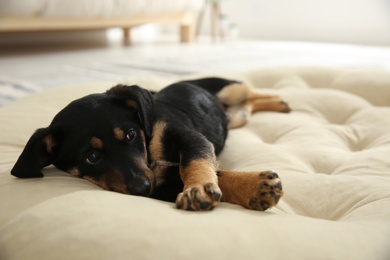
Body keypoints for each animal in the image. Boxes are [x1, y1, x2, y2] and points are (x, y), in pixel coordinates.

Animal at [11, 77, 290, 211]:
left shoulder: (191, 139)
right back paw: (279, 103)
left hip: (230, 90)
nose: (143, 188)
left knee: (251, 91)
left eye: (130, 135)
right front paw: (254, 188)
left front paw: (198, 188)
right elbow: (214, 175)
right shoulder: (162, 185)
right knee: (249, 105)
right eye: (92, 157)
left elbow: (193, 163)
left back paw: (283, 100)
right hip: (236, 116)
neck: (149, 152)